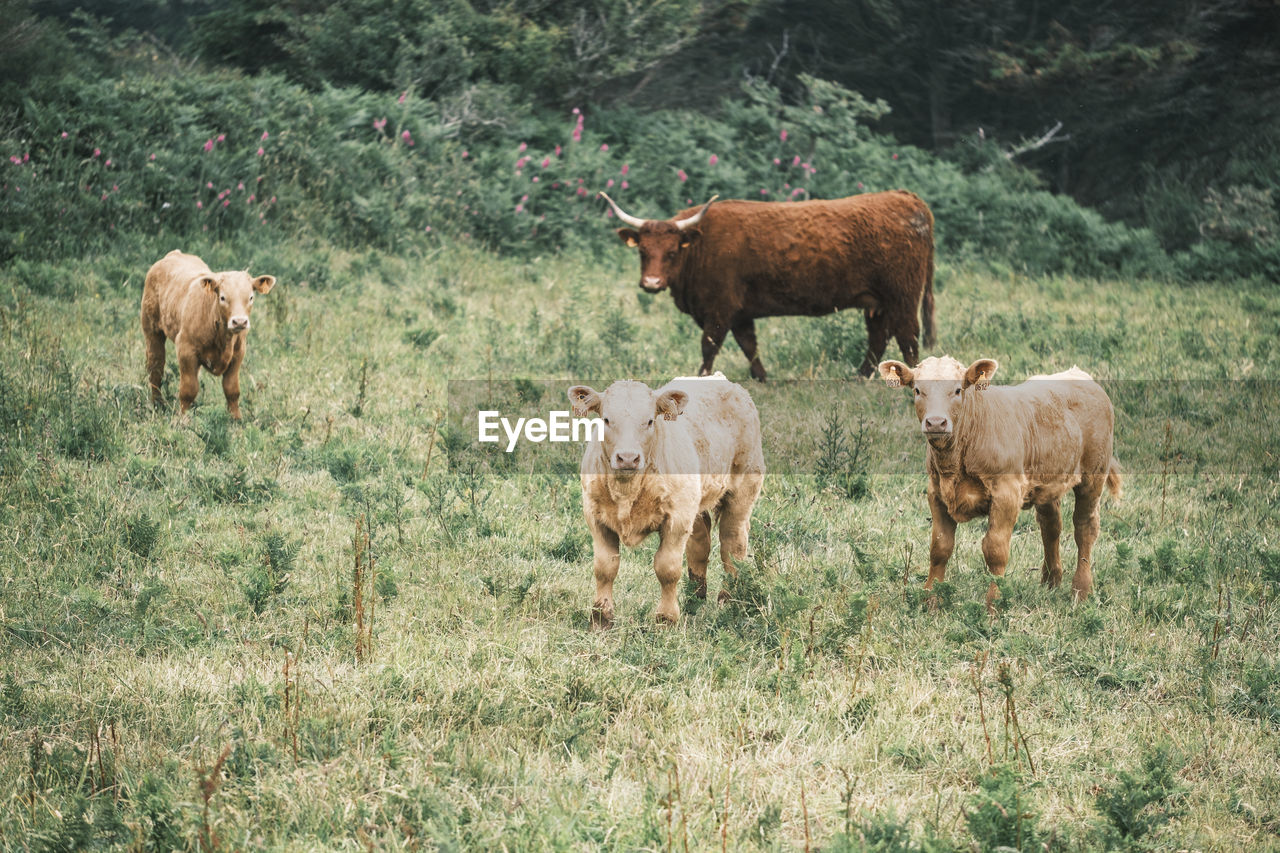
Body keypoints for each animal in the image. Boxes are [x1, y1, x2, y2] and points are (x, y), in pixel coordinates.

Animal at [141, 247, 276, 417]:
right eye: (223, 297)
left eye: (251, 297)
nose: (239, 321)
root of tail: (174, 254)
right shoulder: (185, 349)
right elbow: (188, 390)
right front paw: (183, 419)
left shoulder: (238, 353)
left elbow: (232, 389)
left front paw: (236, 418)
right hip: (152, 330)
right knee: (156, 368)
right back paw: (157, 404)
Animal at [568, 371, 762, 625]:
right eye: (606, 420)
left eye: (650, 421)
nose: (627, 458)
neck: (627, 490)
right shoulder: (595, 516)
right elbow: (605, 567)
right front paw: (601, 618)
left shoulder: (676, 520)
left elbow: (667, 568)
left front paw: (666, 618)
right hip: (694, 503)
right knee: (700, 543)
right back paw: (694, 599)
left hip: (741, 492)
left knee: (732, 545)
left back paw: (729, 601)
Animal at [604, 192, 936, 381]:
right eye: (642, 250)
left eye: (672, 252)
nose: (651, 283)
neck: (701, 246)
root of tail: (906, 198)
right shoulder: (739, 313)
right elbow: (749, 345)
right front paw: (762, 377)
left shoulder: (720, 308)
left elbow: (709, 345)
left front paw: (701, 378)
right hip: (877, 302)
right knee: (879, 336)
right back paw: (860, 377)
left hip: (903, 294)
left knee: (908, 335)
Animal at [880, 356, 1121, 607]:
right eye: (917, 390)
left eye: (957, 390)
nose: (936, 422)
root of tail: (1081, 376)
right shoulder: (936, 493)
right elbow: (940, 547)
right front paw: (930, 602)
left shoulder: (1006, 494)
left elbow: (995, 550)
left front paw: (993, 606)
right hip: (1046, 481)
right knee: (1051, 526)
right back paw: (1050, 582)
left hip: (1093, 476)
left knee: (1085, 527)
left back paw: (1080, 591)